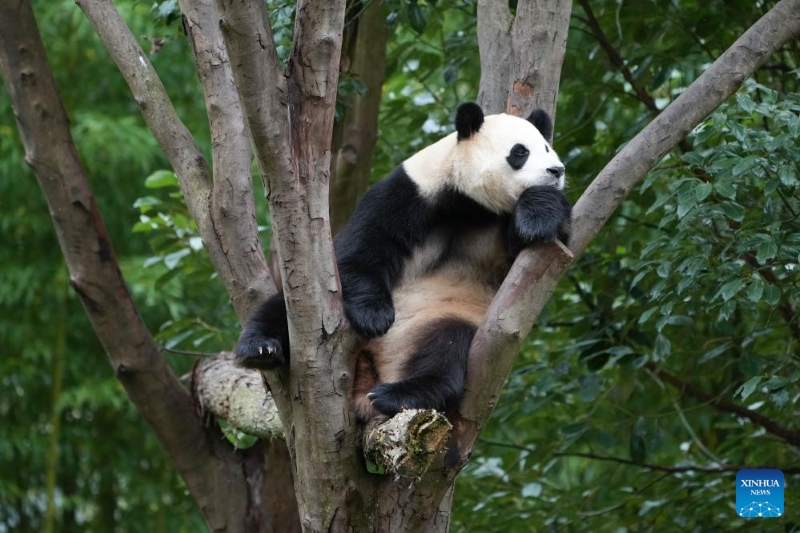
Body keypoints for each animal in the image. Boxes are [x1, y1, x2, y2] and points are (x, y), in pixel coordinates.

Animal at [235, 102, 571, 422]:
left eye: (546, 147)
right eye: (520, 152)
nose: (557, 170)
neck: (472, 205)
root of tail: (377, 371)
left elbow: (532, 258)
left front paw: (538, 213)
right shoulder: (411, 191)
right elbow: (363, 246)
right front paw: (374, 315)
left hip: (442, 317)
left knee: (448, 347)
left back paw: (397, 395)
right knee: (281, 309)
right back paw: (261, 349)